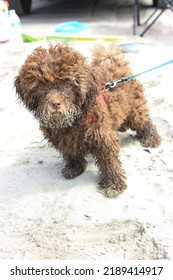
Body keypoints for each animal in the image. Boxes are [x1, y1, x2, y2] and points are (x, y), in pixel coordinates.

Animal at [14, 43, 161, 197]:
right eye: (41, 87)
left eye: (68, 84)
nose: (55, 103)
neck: (72, 122)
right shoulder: (64, 140)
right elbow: (71, 153)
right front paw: (74, 167)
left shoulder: (103, 138)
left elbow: (109, 161)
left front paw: (112, 183)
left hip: (134, 110)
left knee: (145, 122)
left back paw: (151, 138)